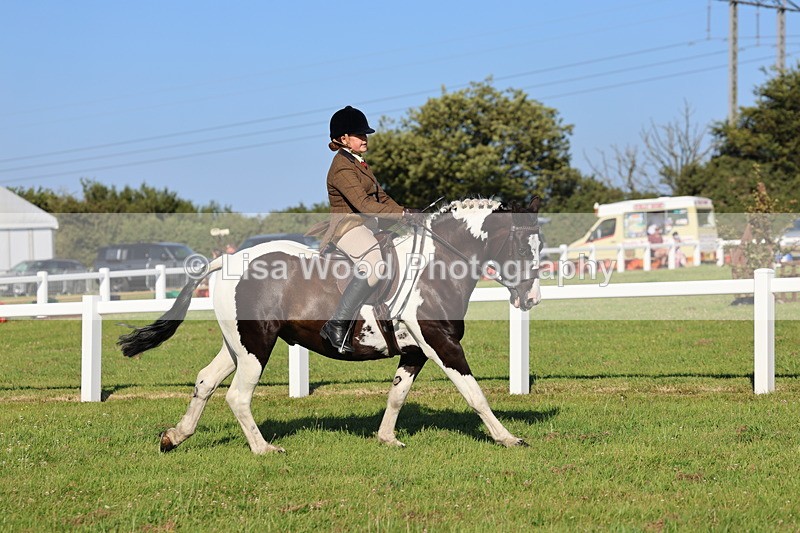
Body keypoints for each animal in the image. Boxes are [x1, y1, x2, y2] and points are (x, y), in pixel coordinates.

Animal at [118, 196, 543, 453]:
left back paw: (175, 437)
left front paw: (387, 438)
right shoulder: (441, 344)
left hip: (238, 344)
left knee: (206, 381)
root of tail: (227, 259)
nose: (531, 299)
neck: (435, 267)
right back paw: (263, 449)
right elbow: (475, 394)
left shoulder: (415, 351)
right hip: (257, 346)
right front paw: (509, 438)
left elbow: (397, 395)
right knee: (238, 396)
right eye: (524, 248)